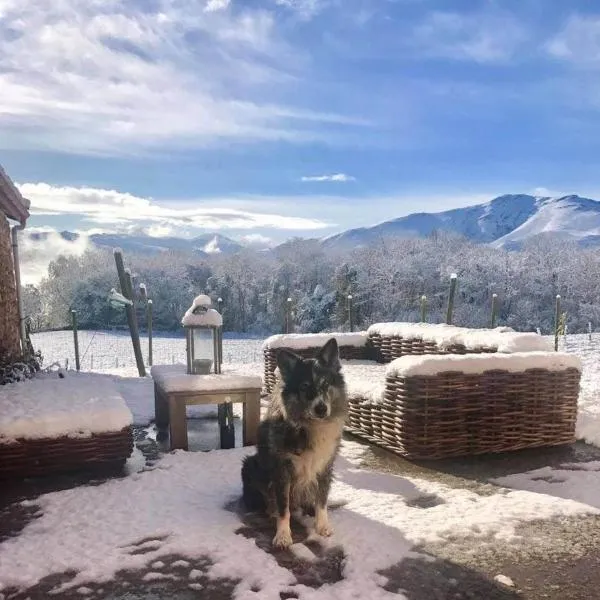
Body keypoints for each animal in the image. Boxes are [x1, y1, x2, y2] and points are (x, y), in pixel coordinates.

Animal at [241, 338, 350, 548]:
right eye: (304, 386)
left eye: (325, 383)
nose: (321, 409)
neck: (310, 426)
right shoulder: (282, 470)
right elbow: (284, 507)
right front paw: (283, 535)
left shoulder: (325, 466)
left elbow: (321, 500)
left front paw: (322, 526)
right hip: (250, 466)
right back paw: (271, 510)